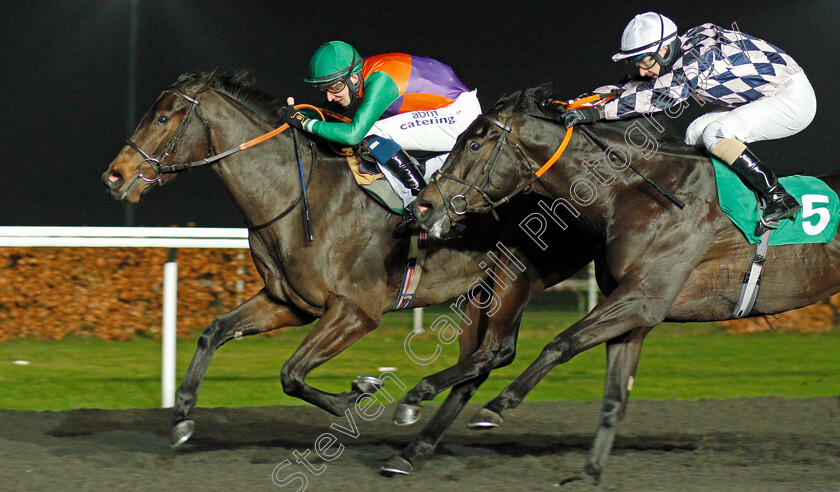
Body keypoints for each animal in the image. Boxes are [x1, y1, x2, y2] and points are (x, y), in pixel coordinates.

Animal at [101, 72, 592, 472]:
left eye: (163, 119)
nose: (114, 177)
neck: (298, 197)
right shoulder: (289, 303)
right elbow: (214, 333)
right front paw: (182, 419)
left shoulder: (357, 310)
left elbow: (291, 373)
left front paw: (359, 391)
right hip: (479, 291)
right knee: (477, 364)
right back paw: (415, 448)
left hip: (515, 277)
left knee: (496, 352)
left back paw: (421, 407)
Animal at [412, 85, 840, 484]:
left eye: (473, 143)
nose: (423, 206)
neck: (639, 195)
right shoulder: (634, 316)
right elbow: (613, 398)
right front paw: (588, 474)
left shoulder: (643, 298)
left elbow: (560, 343)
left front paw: (497, 405)